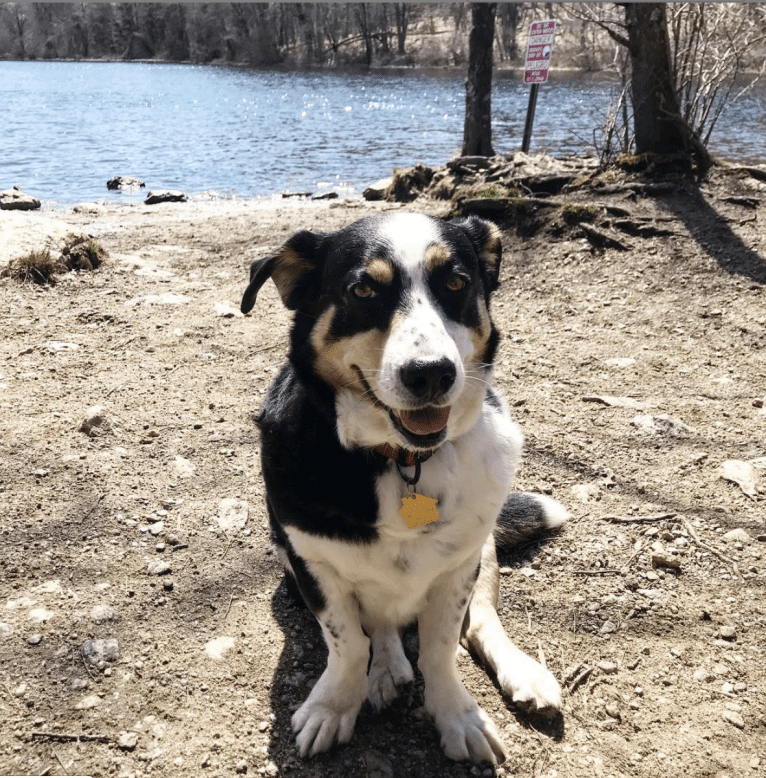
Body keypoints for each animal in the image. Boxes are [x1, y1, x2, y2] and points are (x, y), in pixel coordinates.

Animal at [242, 212, 568, 764]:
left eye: (455, 283)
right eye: (363, 289)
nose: (431, 374)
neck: (401, 461)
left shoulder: (459, 567)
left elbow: (441, 647)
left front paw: (458, 714)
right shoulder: (310, 563)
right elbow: (349, 643)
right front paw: (334, 705)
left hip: (483, 552)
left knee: (480, 621)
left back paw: (521, 673)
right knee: (381, 626)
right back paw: (387, 670)